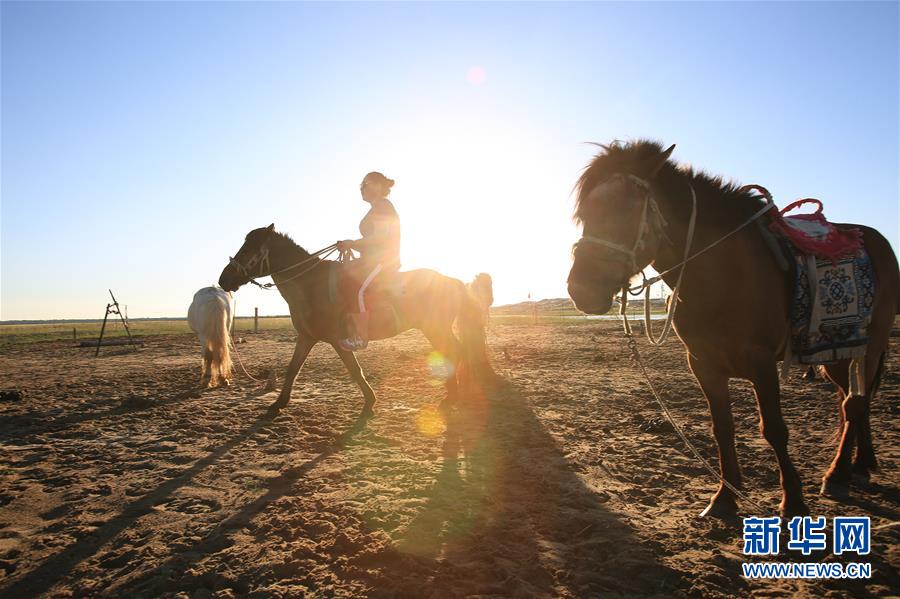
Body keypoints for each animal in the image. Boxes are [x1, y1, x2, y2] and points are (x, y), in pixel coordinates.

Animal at [217, 226, 488, 422]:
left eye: (247, 250)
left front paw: (369, 403)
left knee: (455, 351)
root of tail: (453, 281)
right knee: (457, 351)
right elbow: (293, 368)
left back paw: (453, 395)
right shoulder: (306, 336)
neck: (309, 284)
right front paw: (278, 404)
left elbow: (354, 370)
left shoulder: (338, 340)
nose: (223, 279)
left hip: (434, 328)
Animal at [568, 142, 896, 520]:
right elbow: (722, 429)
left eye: (625, 211)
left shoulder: (762, 363)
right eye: (585, 215)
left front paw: (793, 501)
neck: (721, 273)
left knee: (854, 404)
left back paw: (838, 474)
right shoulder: (703, 364)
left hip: (870, 346)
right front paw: (724, 497)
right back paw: (860, 463)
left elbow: (775, 430)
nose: (581, 290)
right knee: (852, 402)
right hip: (837, 354)